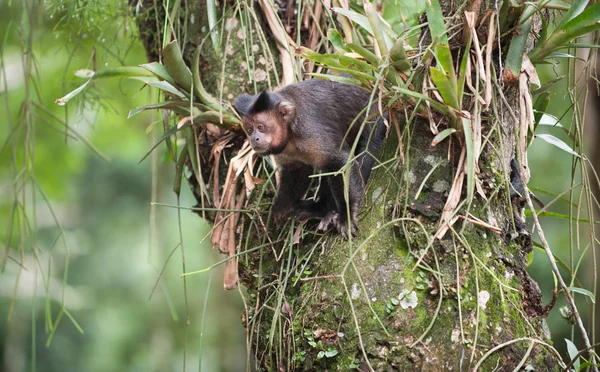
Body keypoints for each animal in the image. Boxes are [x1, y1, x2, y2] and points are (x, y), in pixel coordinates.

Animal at [234, 79, 384, 240]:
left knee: (366, 148)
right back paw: (321, 208)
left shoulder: (309, 129)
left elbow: (339, 162)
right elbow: (298, 171)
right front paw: (282, 206)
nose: (254, 139)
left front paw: (347, 216)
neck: (290, 131)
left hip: (377, 114)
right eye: (249, 129)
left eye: (260, 127)